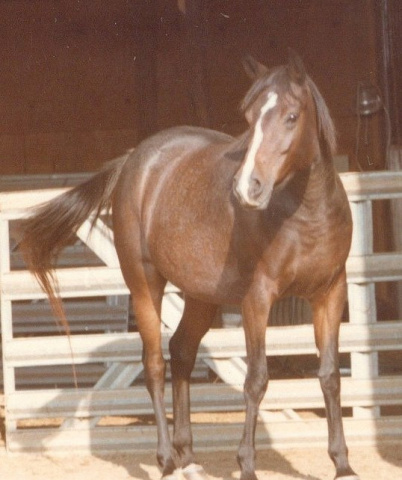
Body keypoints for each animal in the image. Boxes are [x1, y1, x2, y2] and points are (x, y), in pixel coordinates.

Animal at [20, 54, 358, 480]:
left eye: (292, 116)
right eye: (249, 117)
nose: (247, 187)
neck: (306, 215)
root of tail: (134, 159)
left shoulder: (331, 294)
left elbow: (329, 376)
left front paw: (342, 463)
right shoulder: (257, 300)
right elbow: (256, 380)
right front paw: (247, 465)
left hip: (201, 296)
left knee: (181, 351)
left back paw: (188, 457)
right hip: (145, 287)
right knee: (154, 365)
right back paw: (167, 459)